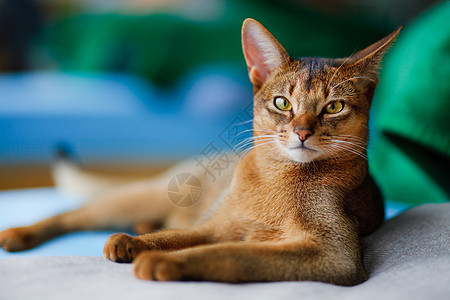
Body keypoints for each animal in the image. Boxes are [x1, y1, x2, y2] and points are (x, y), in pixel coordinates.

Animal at [0, 18, 400, 286]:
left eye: (334, 107)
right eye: (282, 103)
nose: (302, 132)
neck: (278, 179)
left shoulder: (335, 255)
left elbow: (232, 254)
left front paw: (161, 262)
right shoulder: (214, 225)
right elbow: (176, 238)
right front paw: (136, 244)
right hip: (147, 195)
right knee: (75, 212)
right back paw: (21, 234)